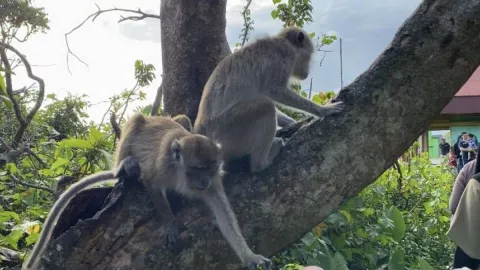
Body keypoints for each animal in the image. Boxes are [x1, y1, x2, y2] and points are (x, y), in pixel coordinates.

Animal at [22, 113, 272, 270]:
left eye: (210, 169)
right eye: (196, 168)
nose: (204, 181)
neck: (178, 171)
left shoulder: (214, 184)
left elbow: (225, 216)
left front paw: (250, 256)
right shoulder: (160, 167)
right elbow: (152, 185)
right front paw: (170, 223)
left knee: (182, 118)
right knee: (134, 121)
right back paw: (125, 166)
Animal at [194, 26, 344, 172]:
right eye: (309, 56)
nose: (307, 72)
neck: (284, 42)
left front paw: (294, 122)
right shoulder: (283, 58)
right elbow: (275, 91)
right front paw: (323, 110)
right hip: (227, 129)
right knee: (265, 107)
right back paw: (261, 164)